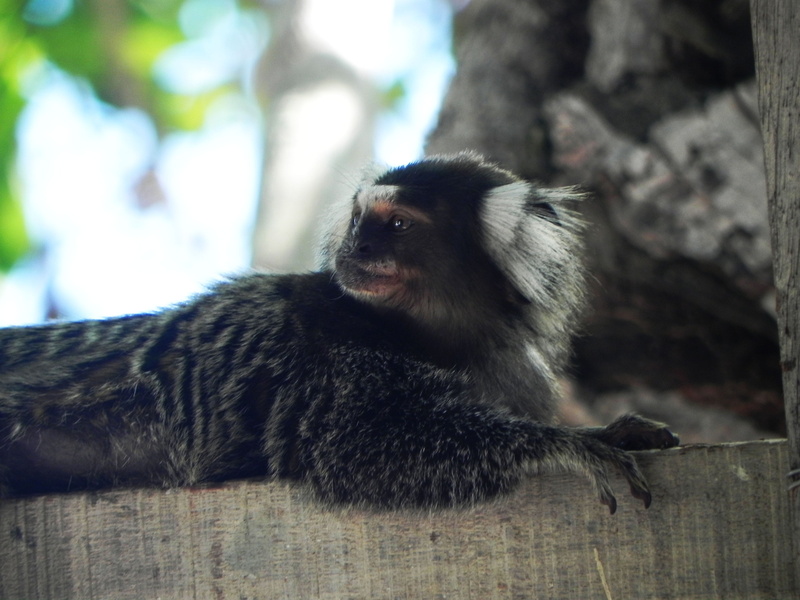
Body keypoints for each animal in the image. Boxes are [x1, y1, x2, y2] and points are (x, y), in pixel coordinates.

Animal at [0, 152, 678, 513]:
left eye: (396, 224)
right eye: (358, 221)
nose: (358, 248)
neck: (442, 336)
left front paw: (606, 430)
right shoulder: (323, 346)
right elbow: (355, 441)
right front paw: (570, 445)